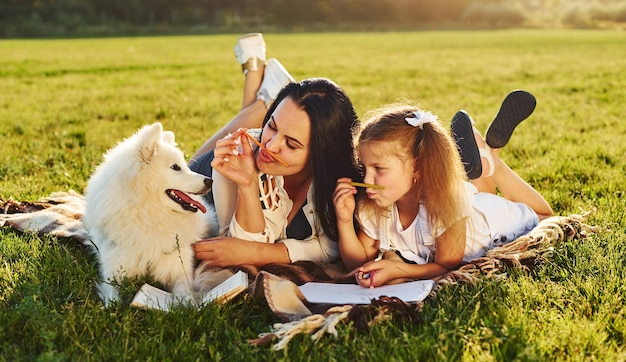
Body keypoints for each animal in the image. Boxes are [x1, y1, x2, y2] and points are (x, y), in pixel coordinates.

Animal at [83, 123, 216, 306]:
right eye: (175, 167)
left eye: (184, 165)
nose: (210, 181)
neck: (149, 214)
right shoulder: (113, 271)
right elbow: (112, 296)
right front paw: (113, 307)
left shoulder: (178, 268)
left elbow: (185, 292)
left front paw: (190, 306)